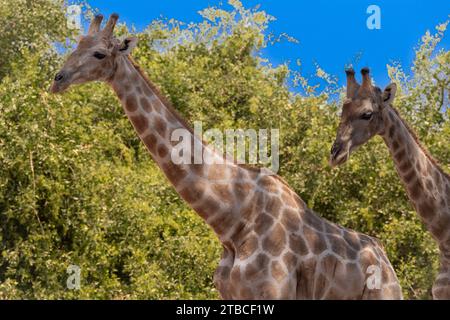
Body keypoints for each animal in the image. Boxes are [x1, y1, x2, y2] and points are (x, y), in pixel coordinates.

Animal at [51, 14, 402, 300]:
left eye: (99, 53)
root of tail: (387, 263)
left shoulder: (275, 291)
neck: (232, 220)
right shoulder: (231, 291)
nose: (58, 79)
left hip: (384, 295)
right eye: (77, 44)